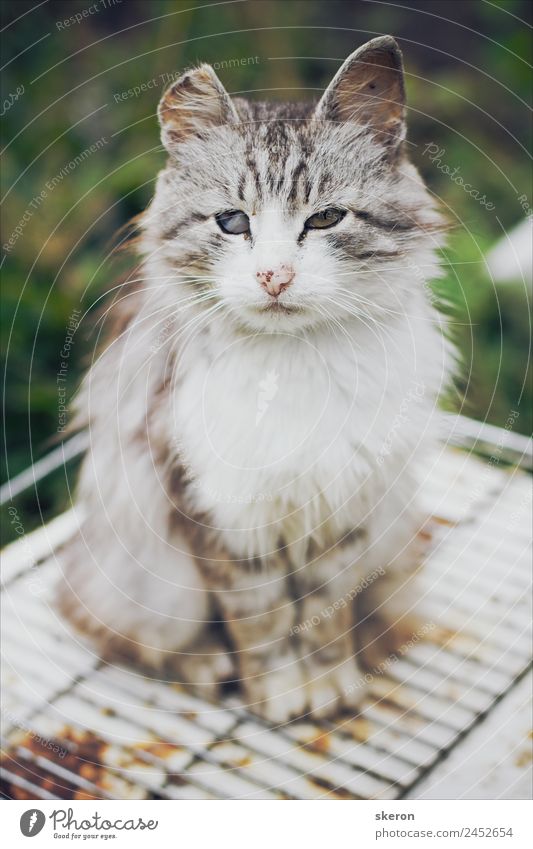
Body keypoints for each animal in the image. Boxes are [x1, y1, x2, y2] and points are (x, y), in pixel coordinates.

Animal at [57, 34, 448, 724]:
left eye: (326, 219)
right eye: (232, 223)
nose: (274, 277)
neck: (290, 366)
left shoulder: (343, 508)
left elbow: (324, 618)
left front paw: (332, 688)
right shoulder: (221, 515)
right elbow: (262, 624)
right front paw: (282, 696)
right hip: (145, 578)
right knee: (121, 631)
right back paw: (210, 669)